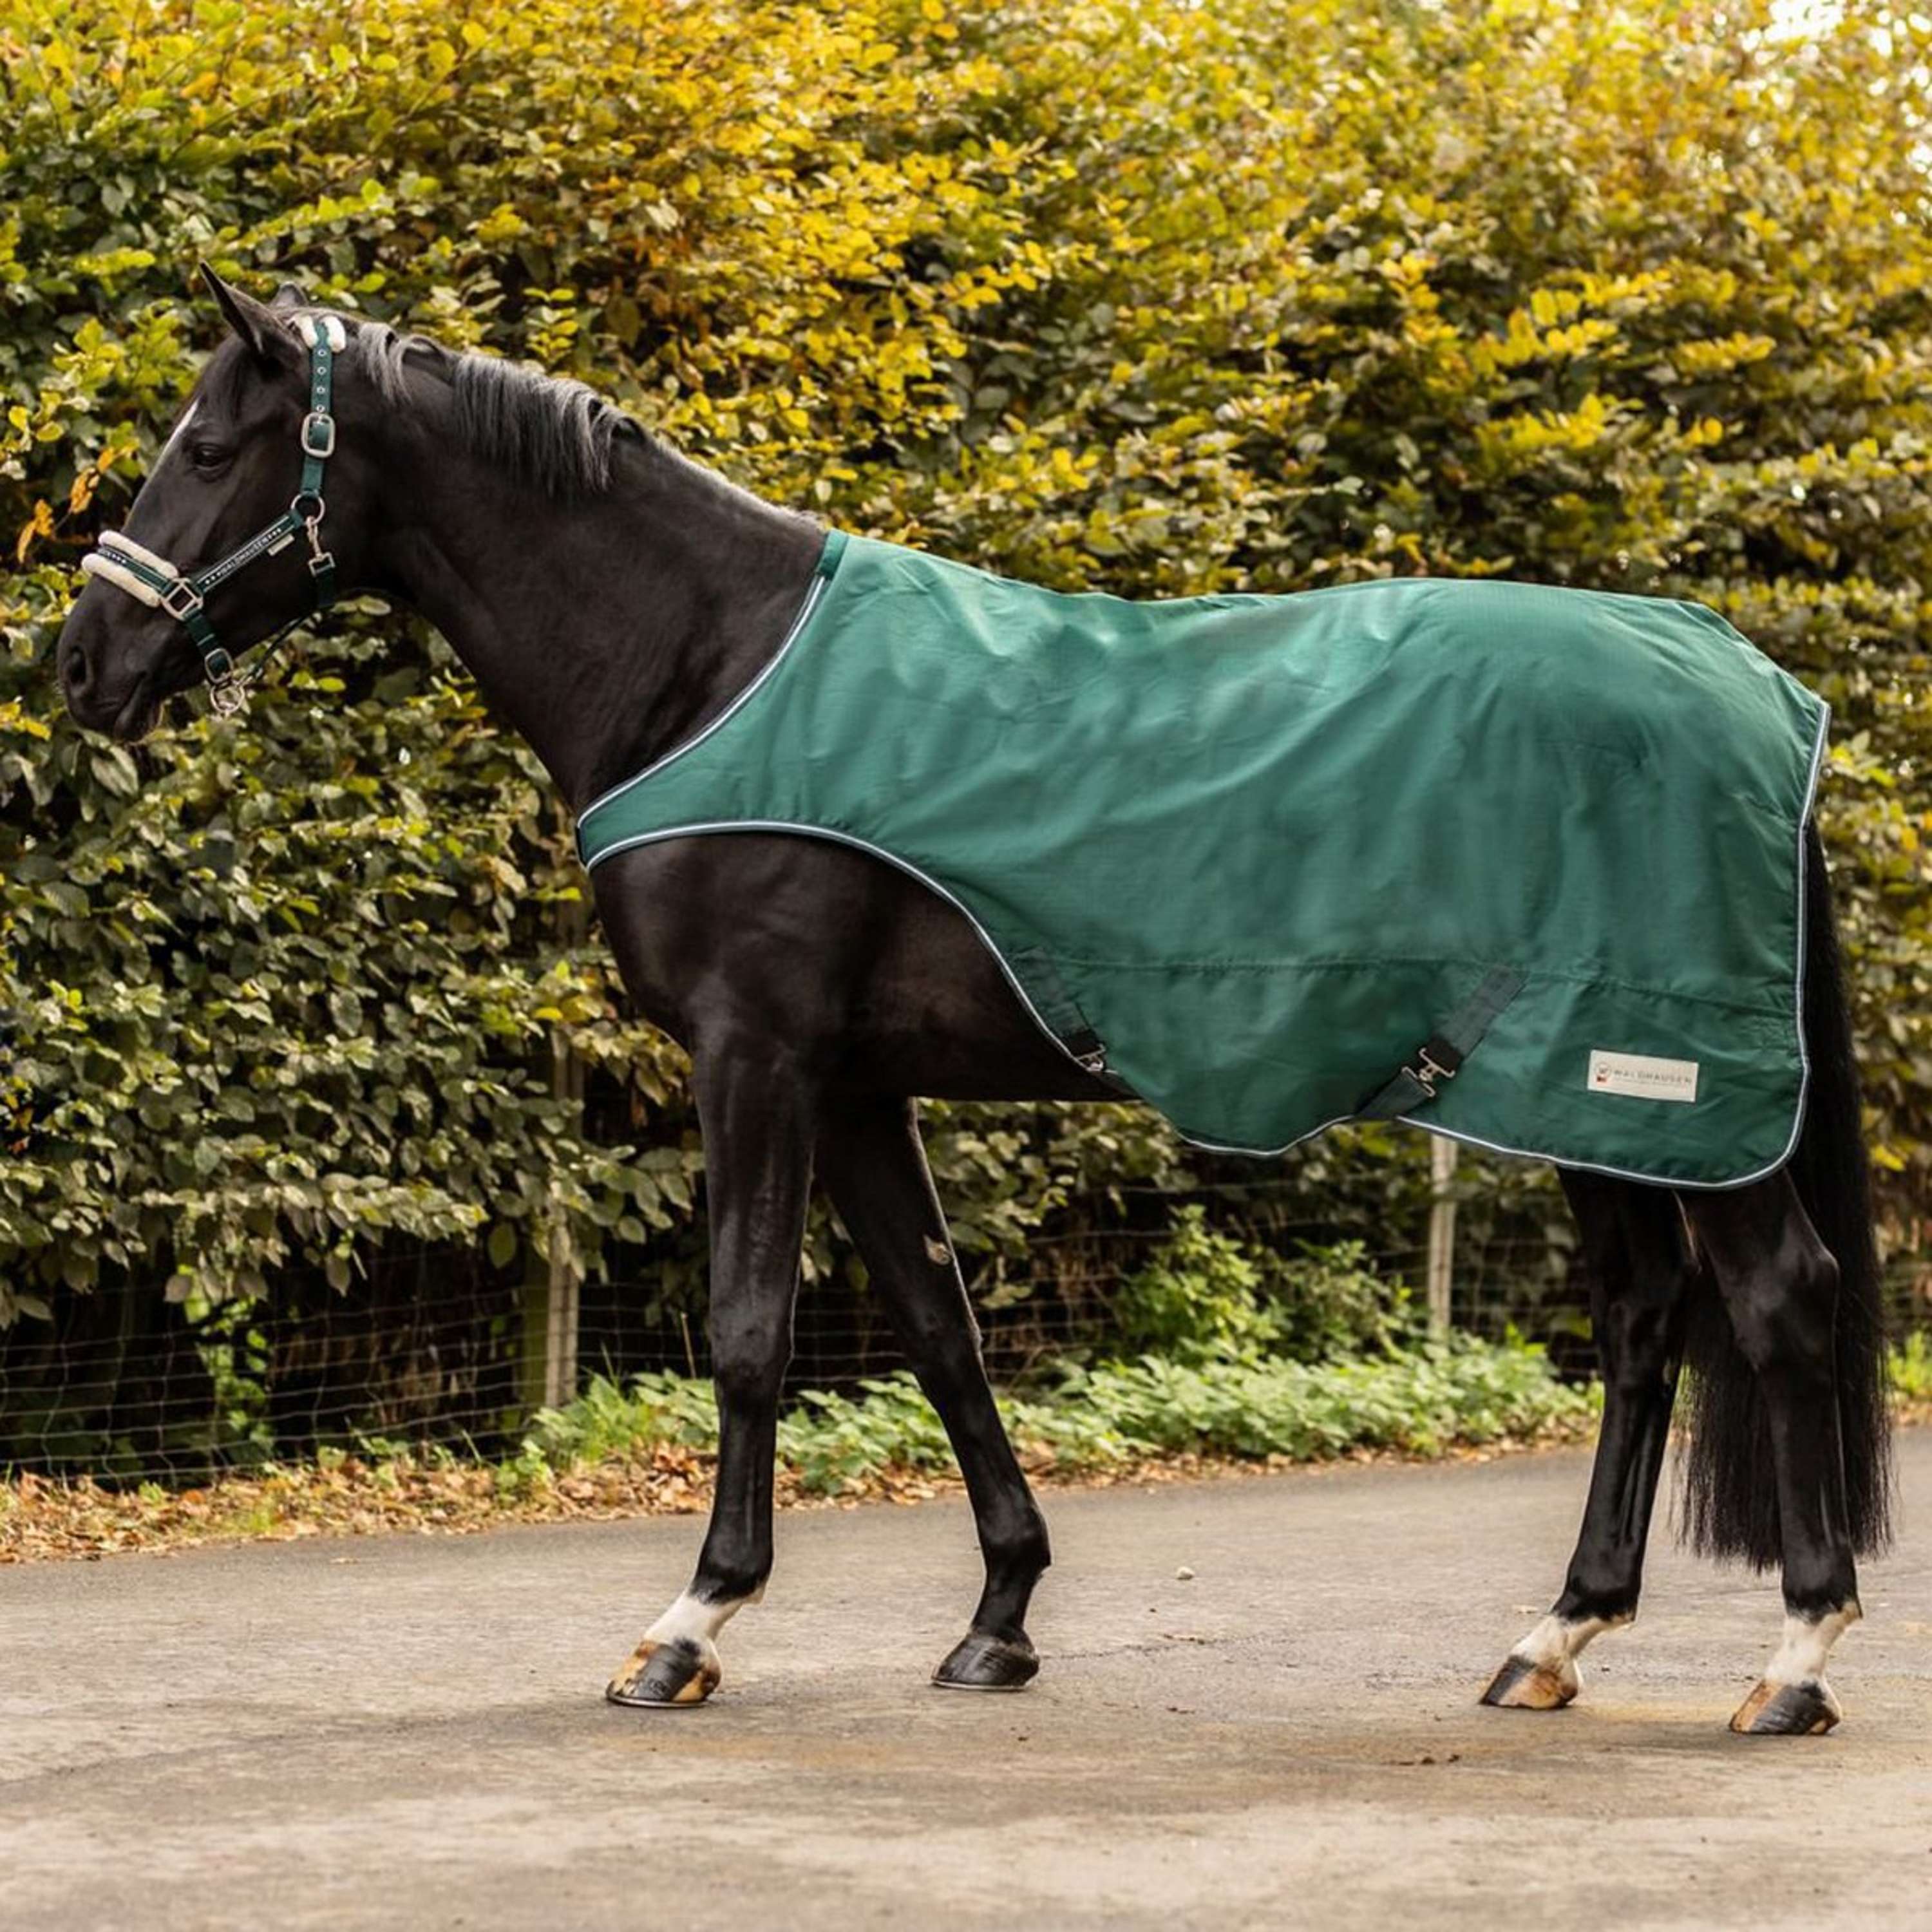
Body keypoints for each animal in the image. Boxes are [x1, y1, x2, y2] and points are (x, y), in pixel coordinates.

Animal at [58, 270, 1892, 1734]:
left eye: (207, 451)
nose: (82, 663)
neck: (707, 664)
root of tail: (1757, 687)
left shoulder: (756, 1059)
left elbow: (749, 1329)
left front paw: (689, 1626)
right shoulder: (857, 1083)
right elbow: (939, 1331)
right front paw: (1000, 1616)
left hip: (1649, 1091)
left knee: (1778, 1302)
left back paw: (1794, 1659)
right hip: (1582, 1096)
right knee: (1644, 1326)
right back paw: (1556, 1637)